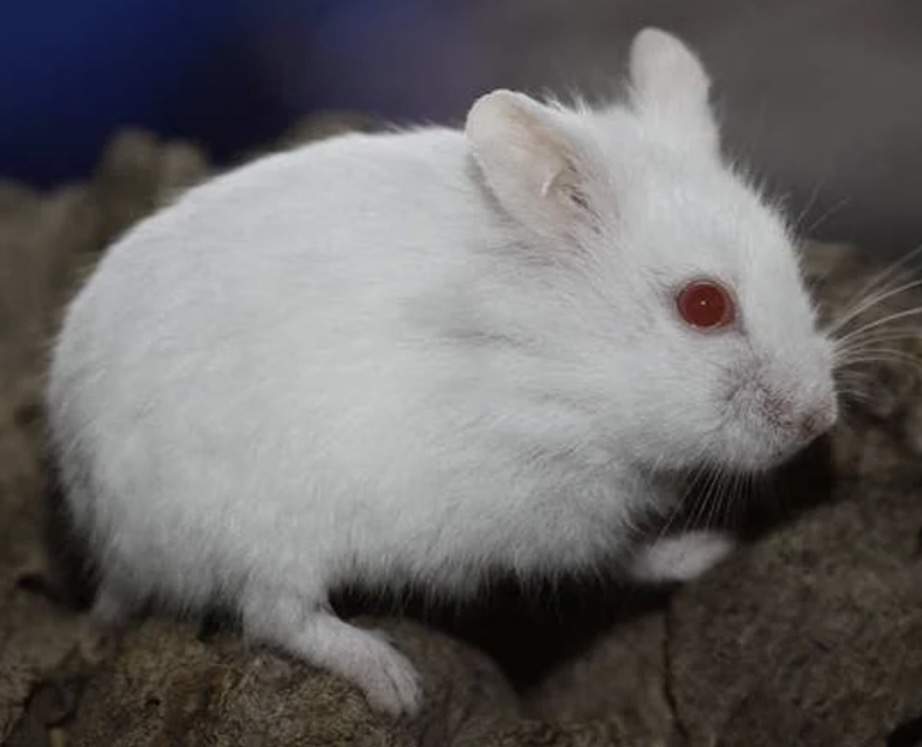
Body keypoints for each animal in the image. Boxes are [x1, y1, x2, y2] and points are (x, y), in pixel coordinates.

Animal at [46, 28, 837, 715]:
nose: (821, 420)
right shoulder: (552, 518)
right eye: (704, 305)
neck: (568, 365)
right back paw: (396, 684)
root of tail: (103, 541)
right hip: (260, 531)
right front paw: (711, 549)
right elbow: (627, 554)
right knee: (275, 615)